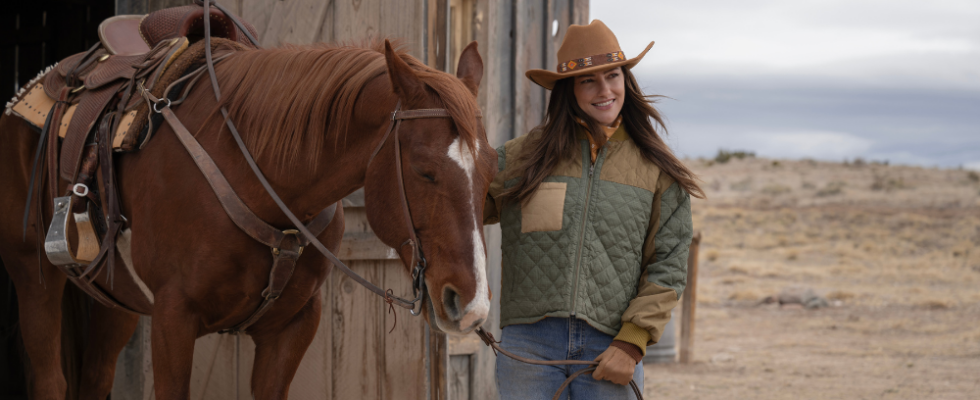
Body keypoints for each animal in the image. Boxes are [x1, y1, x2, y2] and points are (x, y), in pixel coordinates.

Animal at [0, 39, 498, 398]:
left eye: (491, 170)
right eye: (424, 170)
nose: (469, 304)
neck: (256, 175)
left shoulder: (292, 328)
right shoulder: (173, 319)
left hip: (116, 299)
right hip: (33, 275)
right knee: (50, 379)